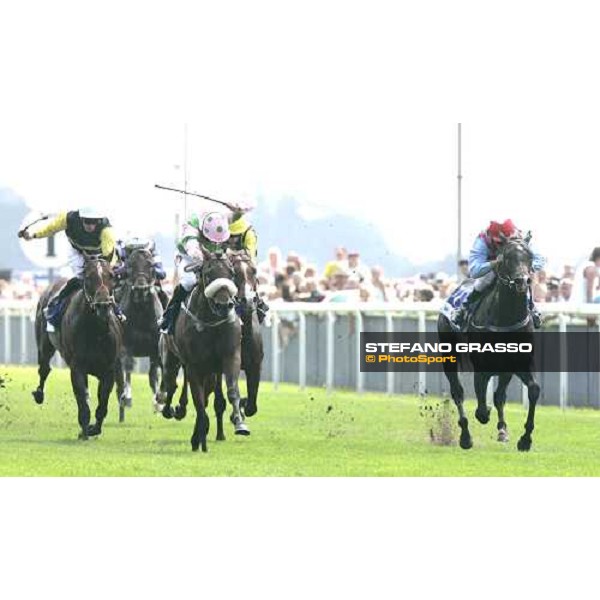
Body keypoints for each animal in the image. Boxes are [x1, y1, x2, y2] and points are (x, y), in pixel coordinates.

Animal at [32, 255, 124, 438]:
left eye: (112, 275)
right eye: (88, 277)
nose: (103, 305)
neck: (95, 331)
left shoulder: (109, 370)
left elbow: (102, 403)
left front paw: (94, 428)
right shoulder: (77, 368)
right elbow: (82, 401)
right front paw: (84, 431)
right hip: (44, 345)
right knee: (44, 369)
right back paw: (38, 393)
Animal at [158, 247, 247, 450]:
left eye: (231, 273)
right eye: (208, 273)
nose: (224, 305)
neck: (212, 322)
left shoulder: (231, 356)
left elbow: (231, 390)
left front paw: (239, 423)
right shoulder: (194, 365)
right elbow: (198, 402)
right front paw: (200, 437)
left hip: (210, 372)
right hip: (170, 357)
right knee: (171, 383)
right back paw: (170, 410)